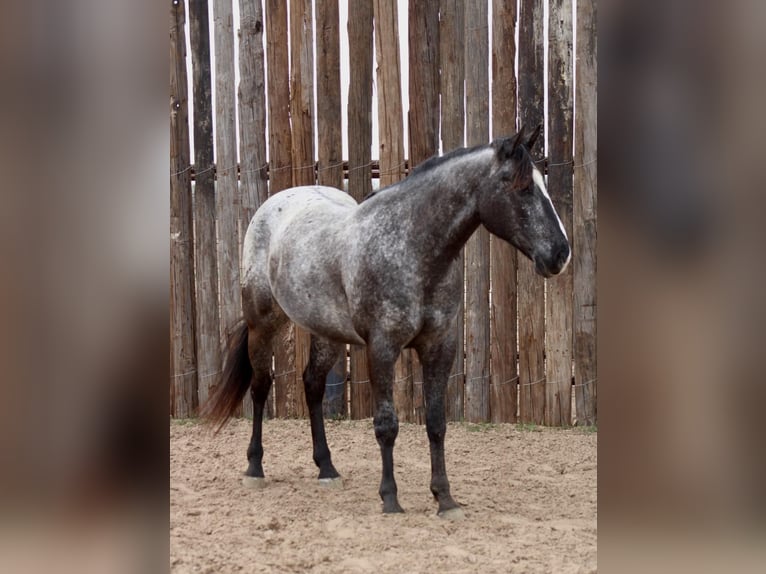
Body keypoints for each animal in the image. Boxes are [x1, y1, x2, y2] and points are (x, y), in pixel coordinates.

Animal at [201, 126, 572, 520]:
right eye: (521, 187)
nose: (560, 254)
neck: (410, 249)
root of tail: (274, 205)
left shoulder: (439, 346)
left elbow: (436, 423)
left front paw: (445, 499)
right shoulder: (382, 348)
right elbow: (386, 425)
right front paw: (390, 498)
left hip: (326, 333)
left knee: (313, 385)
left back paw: (327, 468)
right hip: (263, 324)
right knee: (260, 387)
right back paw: (255, 468)